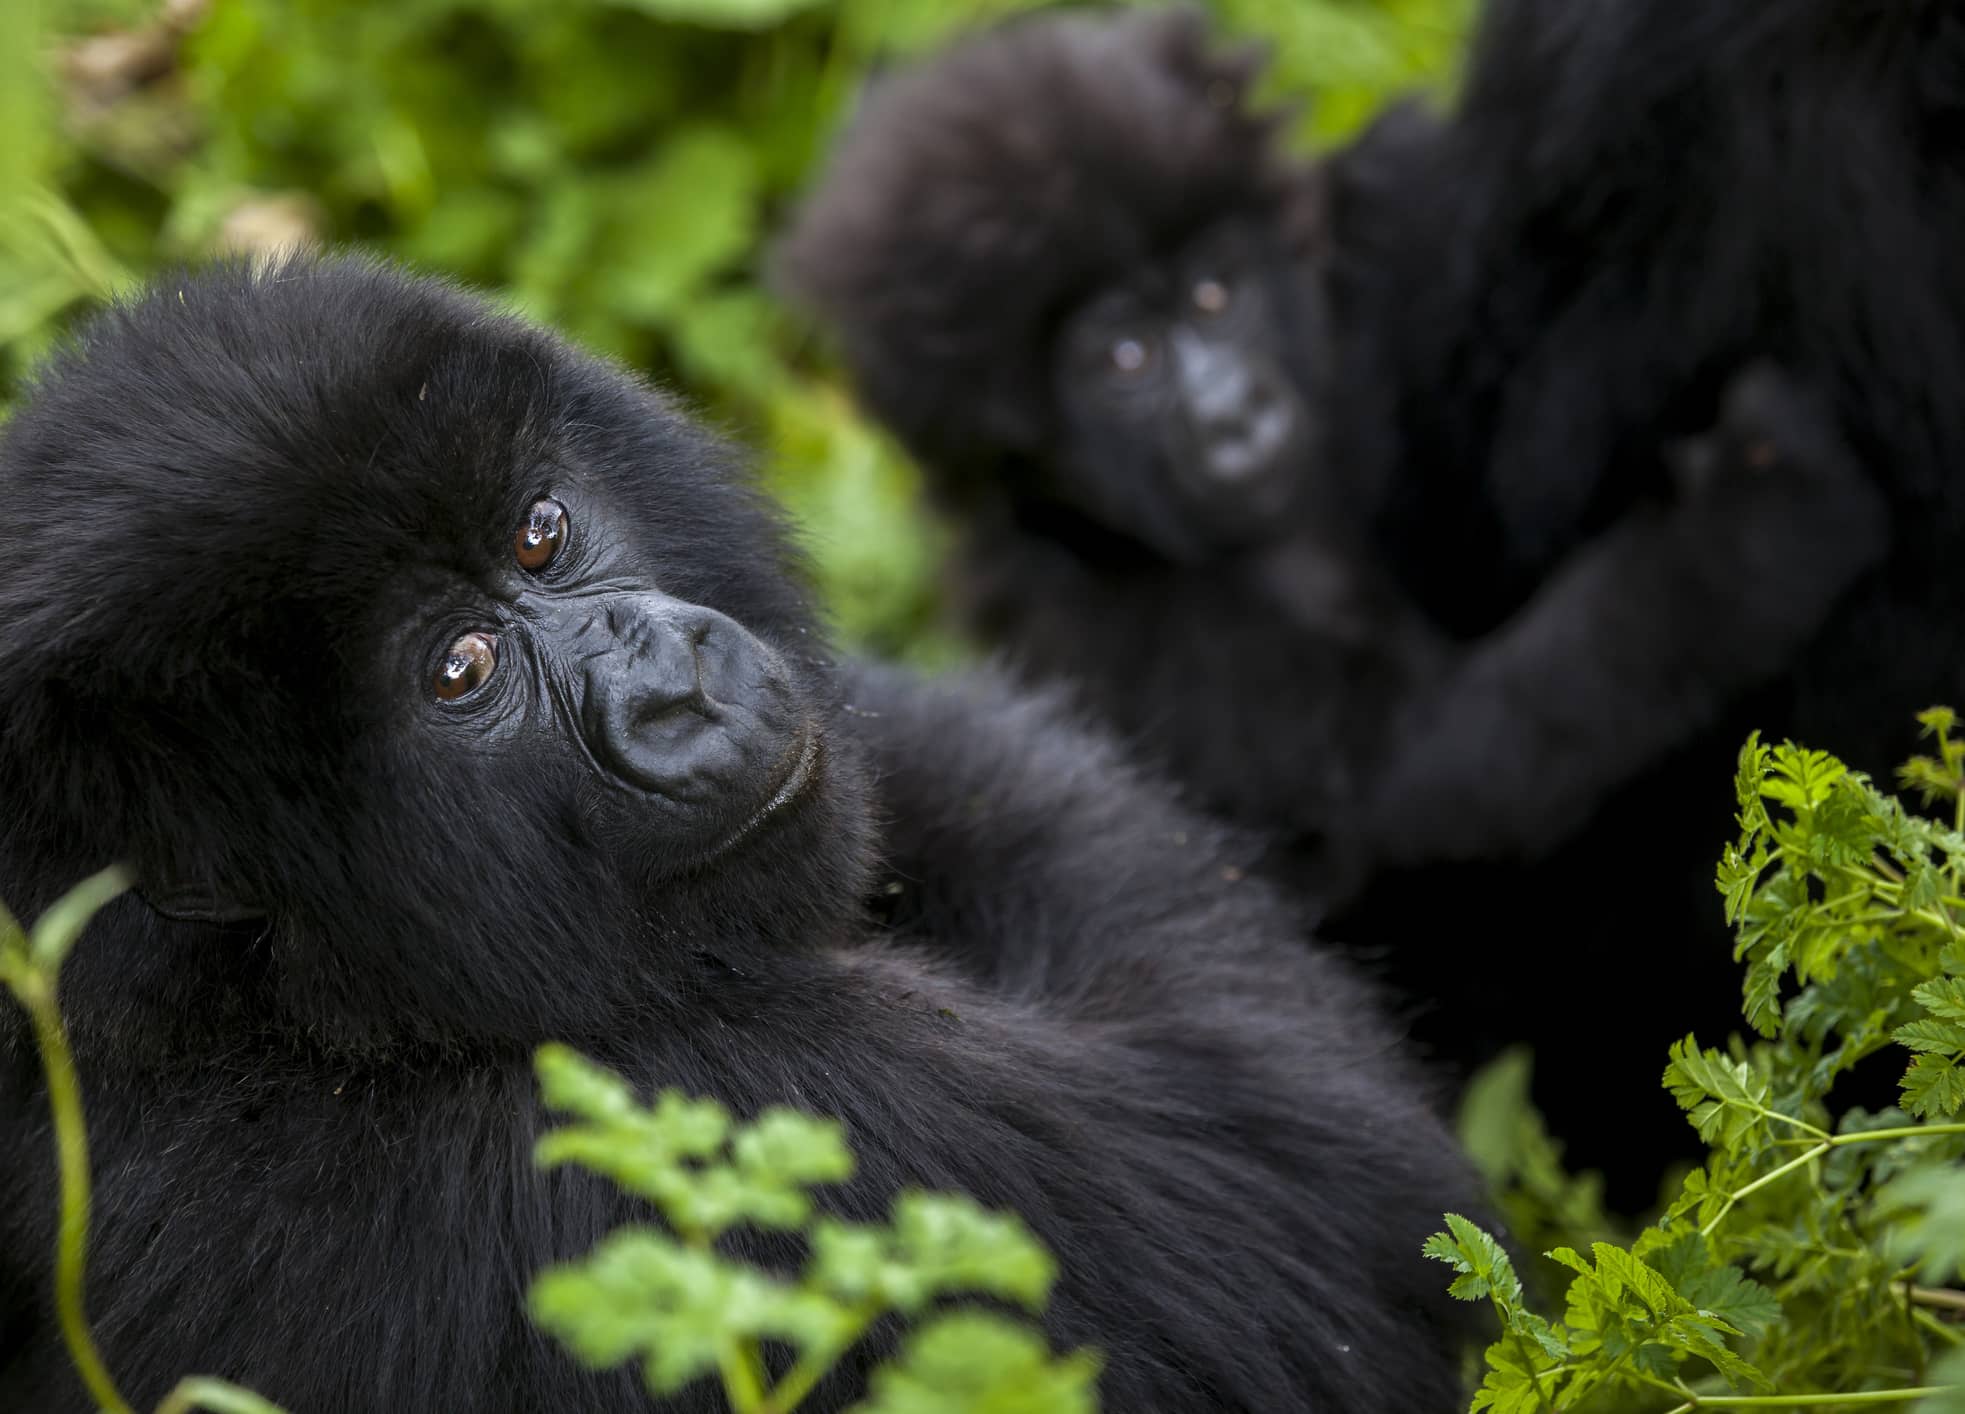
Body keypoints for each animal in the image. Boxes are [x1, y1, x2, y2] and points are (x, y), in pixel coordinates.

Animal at [0, 257, 1477, 1414]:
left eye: (540, 533)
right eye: (460, 670)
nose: (673, 684)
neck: (244, 1013)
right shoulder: (754, 1110)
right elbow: (1312, 1189)